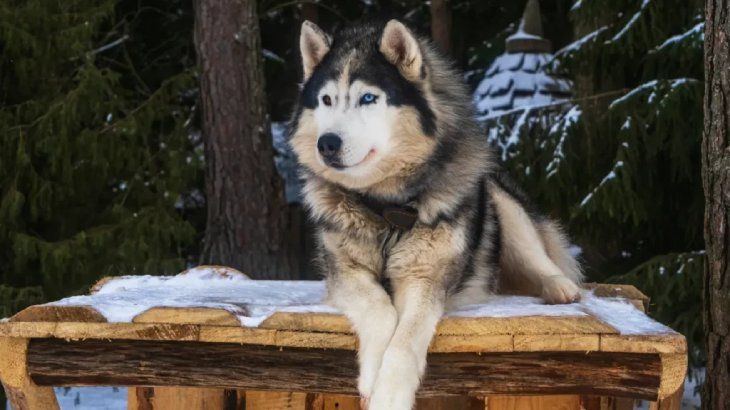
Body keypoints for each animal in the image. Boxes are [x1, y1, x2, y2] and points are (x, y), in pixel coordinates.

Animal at [289, 19, 583, 410]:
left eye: (368, 98)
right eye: (326, 100)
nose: (327, 143)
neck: (386, 210)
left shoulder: (425, 278)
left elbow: (405, 340)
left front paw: (390, 394)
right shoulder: (345, 273)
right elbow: (381, 311)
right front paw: (372, 376)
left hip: (501, 202)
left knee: (539, 257)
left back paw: (560, 287)